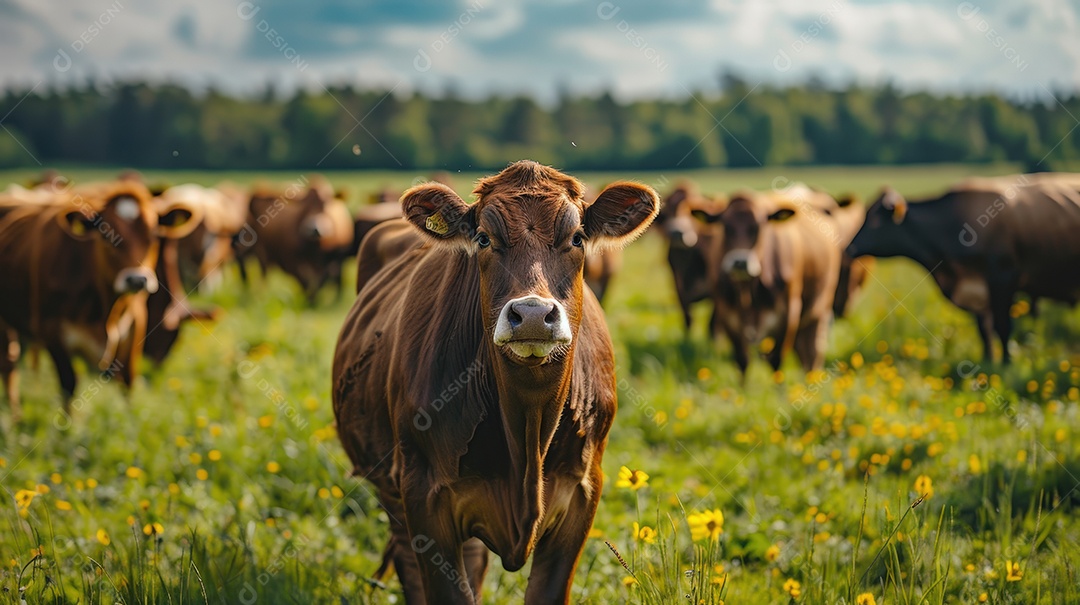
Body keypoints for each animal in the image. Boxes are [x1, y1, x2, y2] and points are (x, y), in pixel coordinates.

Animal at [0, 181, 196, 419]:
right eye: (105, 236)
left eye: (154, 234)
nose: (137, 279)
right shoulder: (51, 332)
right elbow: (69, 384)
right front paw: (68, 426)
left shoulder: (136, 324)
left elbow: (128, 381)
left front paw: (130, 422)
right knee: (8, 365)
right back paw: (15, 417)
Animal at [652, 181, 721, 332]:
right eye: (666, 214)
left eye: (690, 212)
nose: (677, 233)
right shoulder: (678, 288)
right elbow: (688, 319)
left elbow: (712, 324)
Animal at [691, 189, 842, 375]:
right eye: (726, 227)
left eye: (758, 227)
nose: (740, 262)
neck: (748, 291)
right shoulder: (727, 314)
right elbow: (742, 360)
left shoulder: (789, 314)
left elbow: (776, 360)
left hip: (819, 310)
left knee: (812, 355)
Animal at [846, 173, 1080, 363]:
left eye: (875, 221)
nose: (849, 248)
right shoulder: (976, 289)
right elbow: (985, 330)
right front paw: (988, 362)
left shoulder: (1003, 279)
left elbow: (1003, 327)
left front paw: (1006, 365)